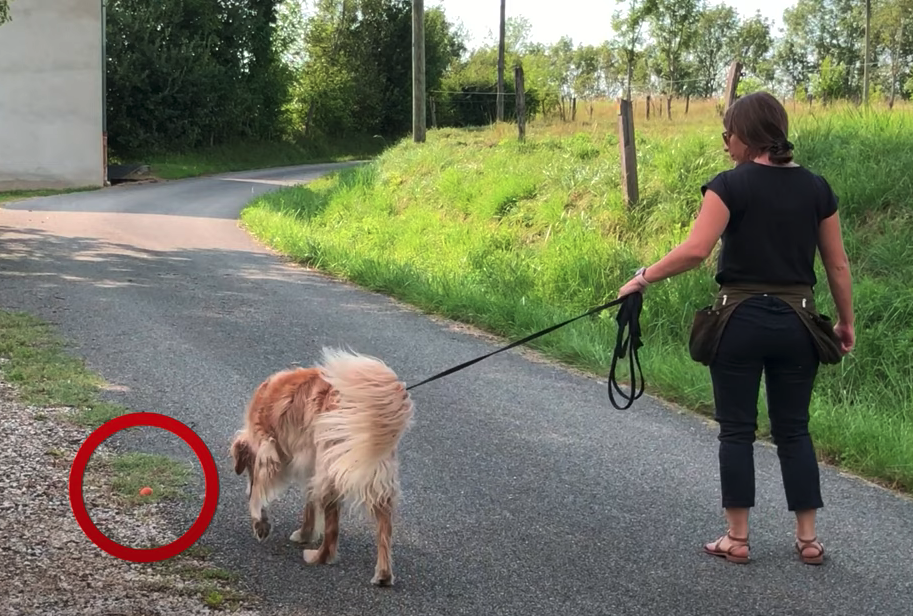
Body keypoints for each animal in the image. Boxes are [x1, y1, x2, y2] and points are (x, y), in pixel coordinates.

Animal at [228, 346, 414, 588]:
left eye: (247, 469)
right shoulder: (310, 466)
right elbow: (308, 502)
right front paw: (304, 533)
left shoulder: (268, 449)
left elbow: (258, 494)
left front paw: (260, 524)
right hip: (373, 468)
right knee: (384, 523)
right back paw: (383, 574)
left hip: (332, 466)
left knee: (332, 528)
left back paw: (319, 556)